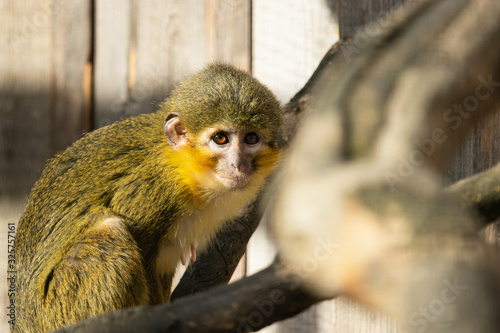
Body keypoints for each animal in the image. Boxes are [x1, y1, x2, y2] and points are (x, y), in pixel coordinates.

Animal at [11, 63, 284, 332]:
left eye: (251, 138)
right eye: (221, 139)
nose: (238, 164)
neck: (185, 168)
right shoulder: (154, 186)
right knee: (110, 228)